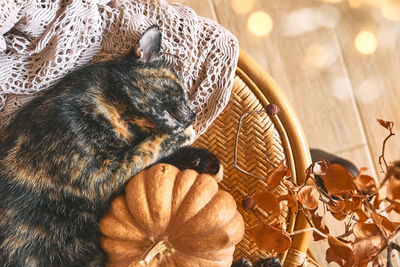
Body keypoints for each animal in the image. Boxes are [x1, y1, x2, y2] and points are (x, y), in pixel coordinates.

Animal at [0, 25, 219, 267]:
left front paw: (201, 160)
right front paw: (185, 136)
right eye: (179, 89)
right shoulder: (100, 177)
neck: (117, 108)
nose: (194, 115)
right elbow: (148, 149)